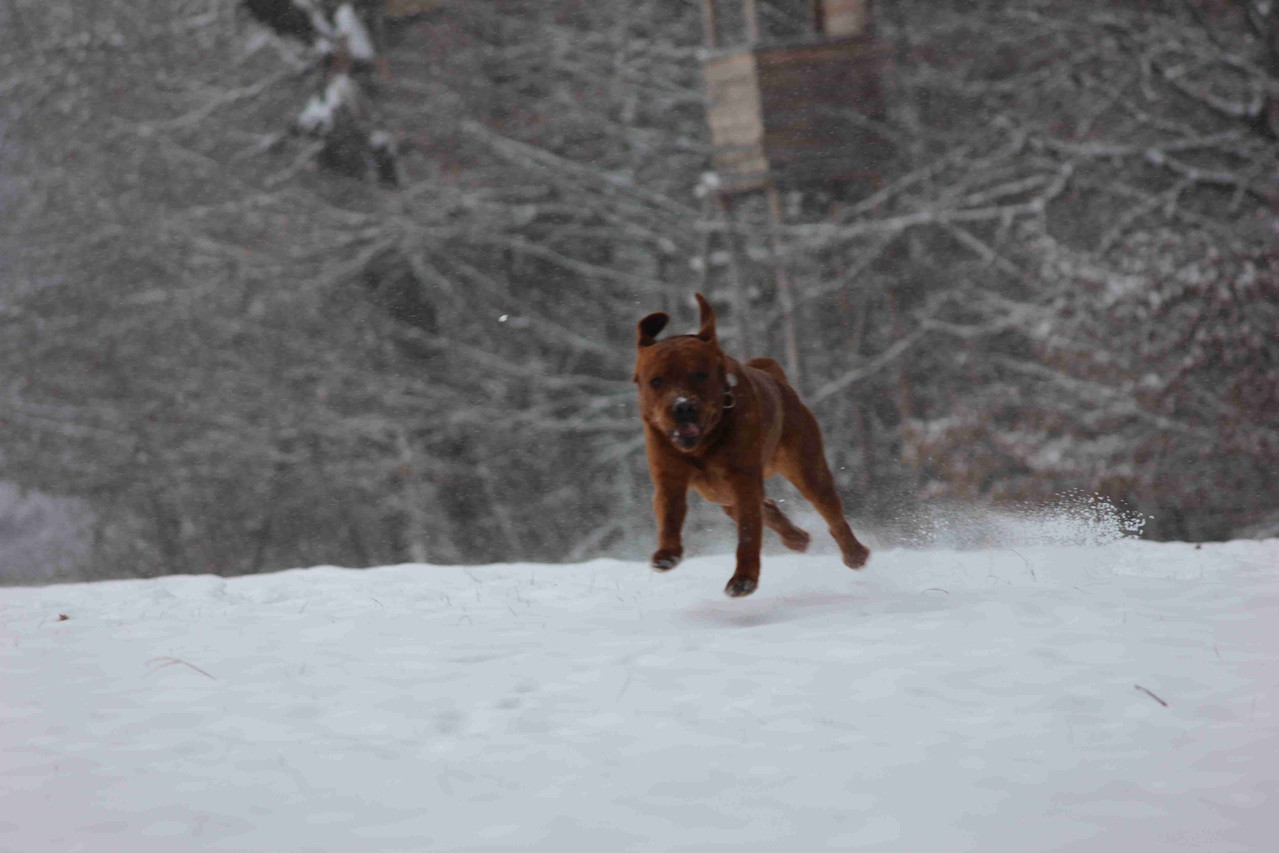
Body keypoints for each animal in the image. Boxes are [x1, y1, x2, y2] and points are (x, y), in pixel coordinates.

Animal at [636, 296, 874, 598]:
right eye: (656, 381)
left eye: (700, 375)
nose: (683, 406)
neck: (704, 445)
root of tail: (775, 377)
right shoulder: (669, 477)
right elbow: (669, 515)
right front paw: (667, 553)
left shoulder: (742, 478)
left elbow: (749, 532)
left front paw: (743, 579)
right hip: (717, 492)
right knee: (763, 507)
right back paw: (797, 537)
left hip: (805, 467)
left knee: (831, 513)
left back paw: (854, 553)